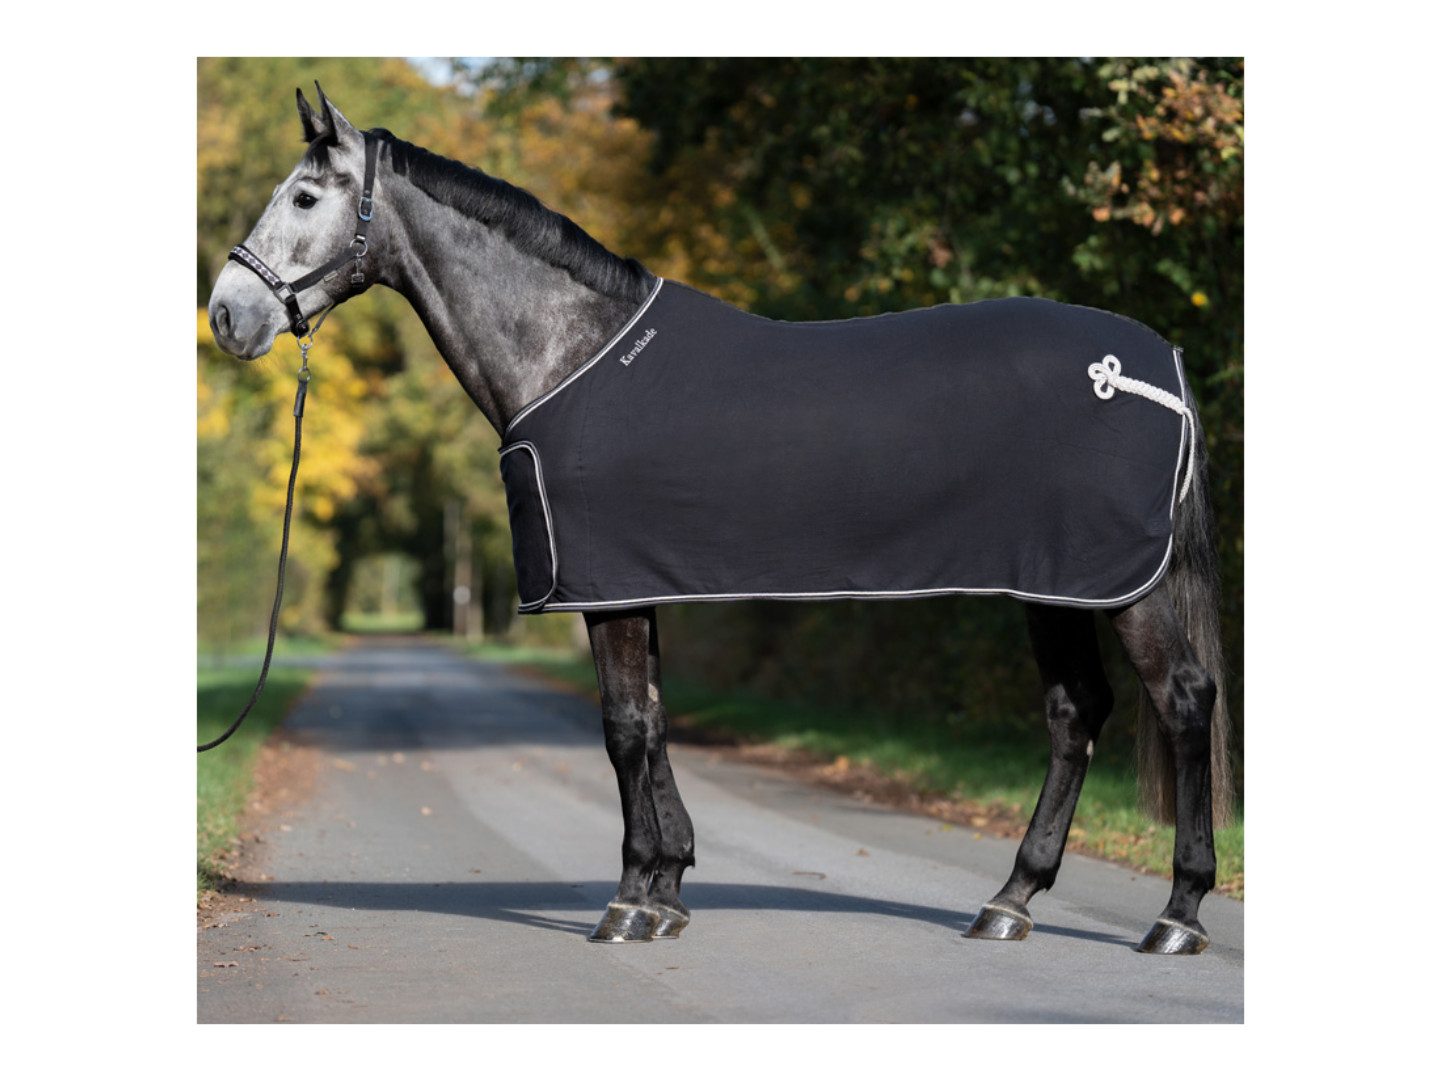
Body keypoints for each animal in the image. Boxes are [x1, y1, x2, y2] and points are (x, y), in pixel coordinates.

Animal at [207, 86, 1235, 956]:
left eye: (304, 196)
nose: (227, 316)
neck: (569, 349)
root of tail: (1156, 364)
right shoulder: (633, 580)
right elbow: (656, 720)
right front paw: (668, 889)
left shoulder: (606, 589)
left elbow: (625, 727)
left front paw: (628, 903)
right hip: (1054, 584)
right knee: (1076, 712)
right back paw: (1010, 901)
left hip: (1118, 586)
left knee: (1183, 701)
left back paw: (1178, 914)